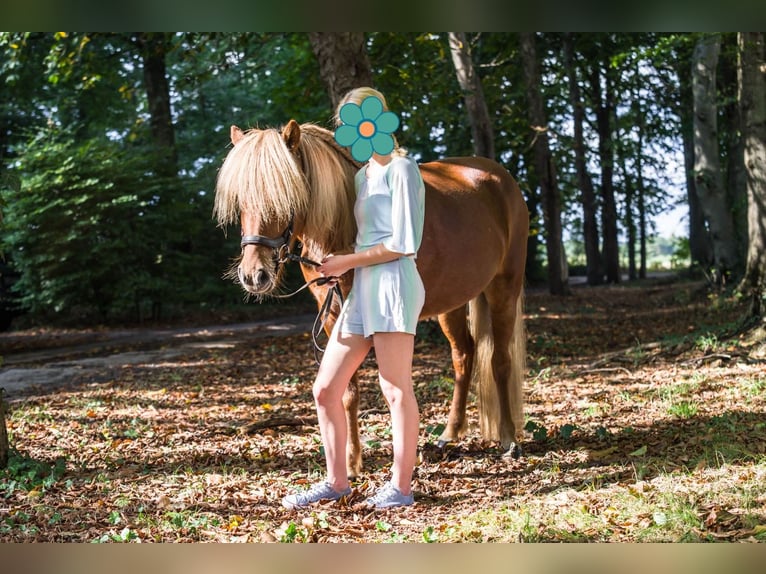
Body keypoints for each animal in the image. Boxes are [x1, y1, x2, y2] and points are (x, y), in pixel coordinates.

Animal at [214, 120, 528, 478]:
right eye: (241, 199)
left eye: (285, 196)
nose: (254, 276)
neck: (340, 228)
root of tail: (500, 178)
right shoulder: (333, 315)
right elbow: (348, 391)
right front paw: (350, 463)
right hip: (453, 301)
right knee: (464, 355)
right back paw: (450, 433)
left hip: (504, 287)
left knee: (499, 361)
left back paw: (508, 438)